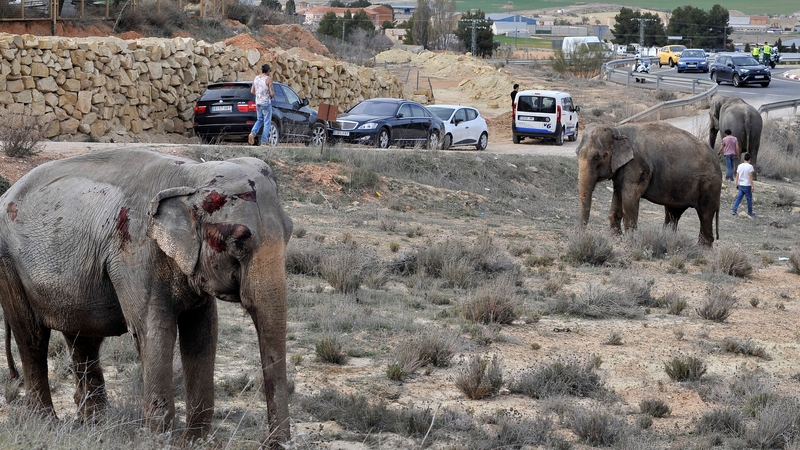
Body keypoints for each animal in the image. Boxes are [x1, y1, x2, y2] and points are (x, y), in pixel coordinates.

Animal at [0, 148, 292, 446]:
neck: (190, 177)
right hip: (8, 265)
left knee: (84, 339)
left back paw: (94, 425)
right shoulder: (135, 252)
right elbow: (154, 331)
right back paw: (46, 422)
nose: (272, 443)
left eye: (290, 230)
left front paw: (193, 442)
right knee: (32, 337)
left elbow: (203, 332)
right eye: (238, 242)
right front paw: (156, 441)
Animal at [577, 123, 721, 246]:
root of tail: (717, 160)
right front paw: (616, 238)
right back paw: (668, 239)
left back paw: (702, 248)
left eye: (598, 157)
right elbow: (618, 195)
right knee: (673, 212)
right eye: (577, 153)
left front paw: (630, 240)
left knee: (705, 213)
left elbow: (630, 197)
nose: (583, 236)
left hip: (709, 185)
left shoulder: (636, 166)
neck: (617, 130)